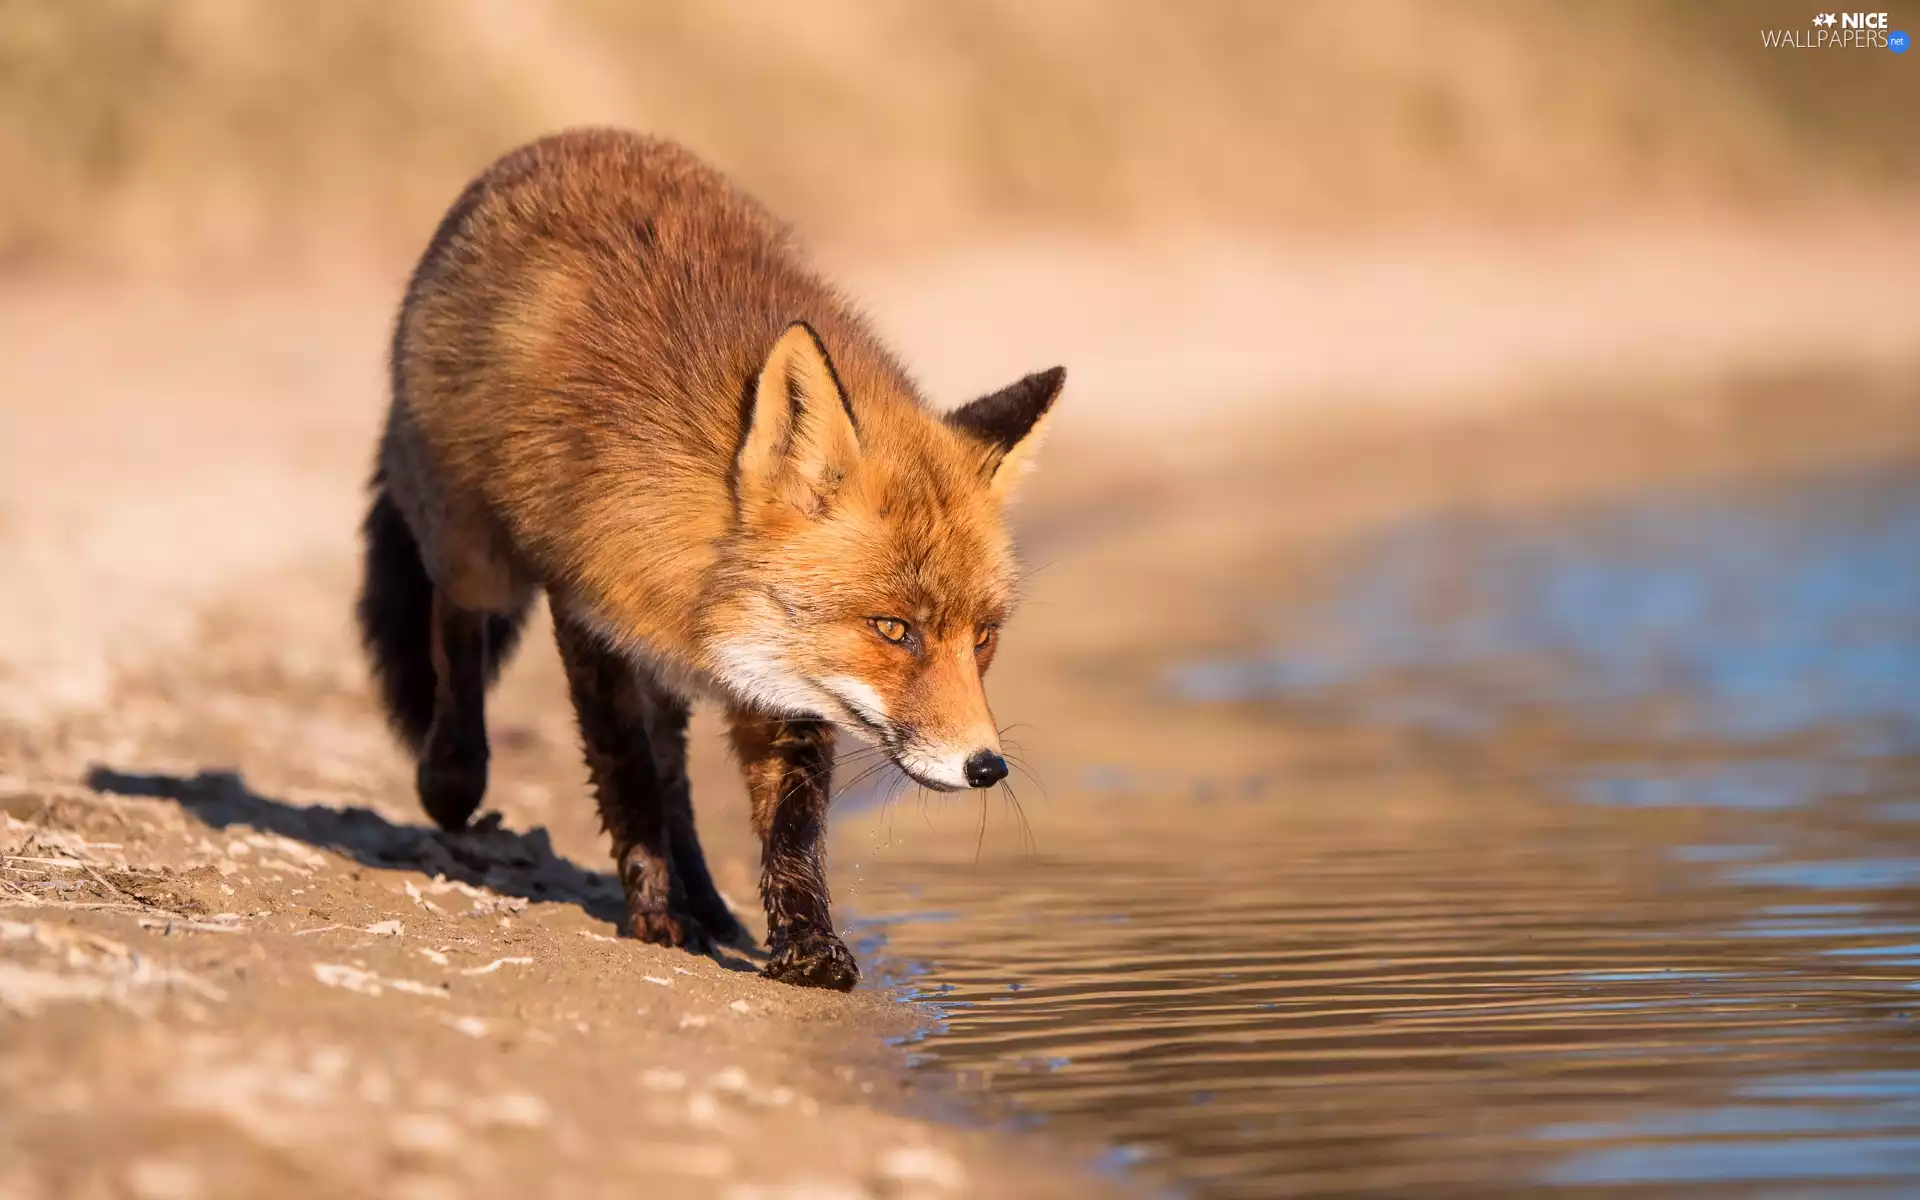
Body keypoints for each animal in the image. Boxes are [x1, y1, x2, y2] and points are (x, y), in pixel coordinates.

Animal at [357, 129, 1063, 990]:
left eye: (984, 637)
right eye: (894, 629)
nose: (986, 767)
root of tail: (578, 137)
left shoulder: (788, 674)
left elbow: (789, 826)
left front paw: (805, 942)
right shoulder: (592, 614)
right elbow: (626, 778)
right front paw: (655, 917)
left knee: (676, 773)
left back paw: (706, 898)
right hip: (476, 552)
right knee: (456, 627)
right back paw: (454, 777)